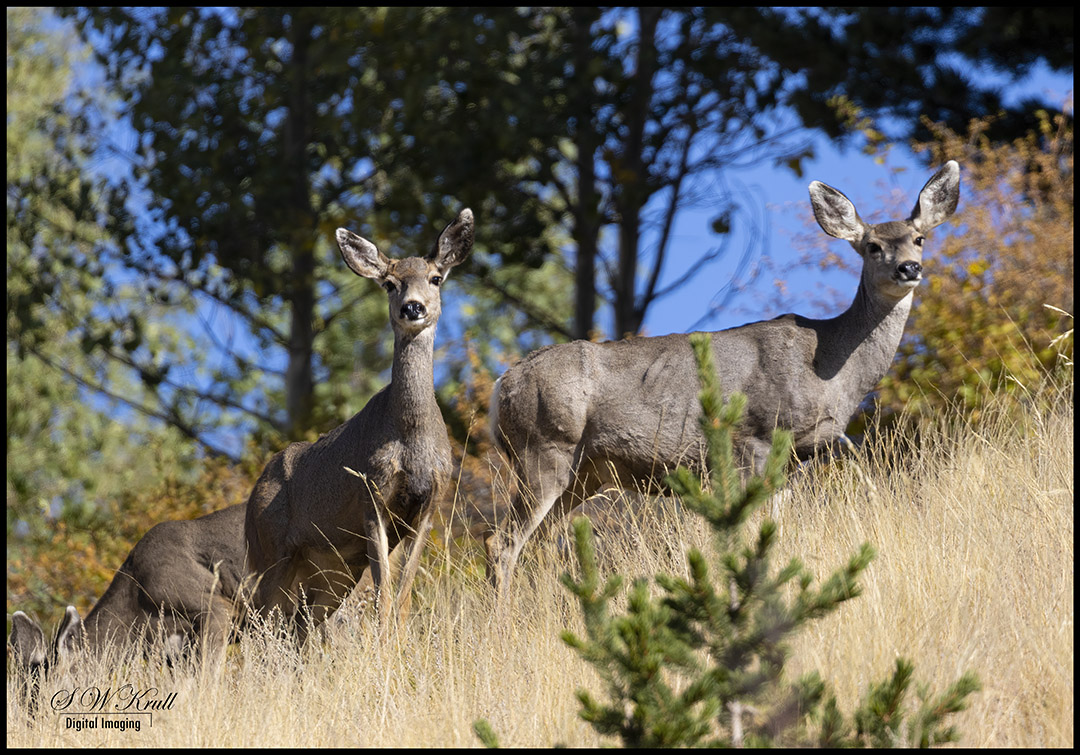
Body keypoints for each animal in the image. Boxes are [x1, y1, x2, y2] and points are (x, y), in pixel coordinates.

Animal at [244, 208, 473, 639]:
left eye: (436, 278)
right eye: (390, 284)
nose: (413, 307)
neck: (411, 439)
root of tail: (251, 499)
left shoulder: (430, 502)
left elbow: (403, 596)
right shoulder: (371, 494)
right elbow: (383, 597)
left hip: (332, 570)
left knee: (298, 627)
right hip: (269, 551)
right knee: (255, 623)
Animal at [485, 161, 960, 597]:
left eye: (919, 238)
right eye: (873, 246)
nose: (909, 268)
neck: (830, 366)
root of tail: (502, 384)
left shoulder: (796, 457)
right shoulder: (755, 436)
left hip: (584, 472)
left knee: (540, 544)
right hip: (545, 446)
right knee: (502, 542)